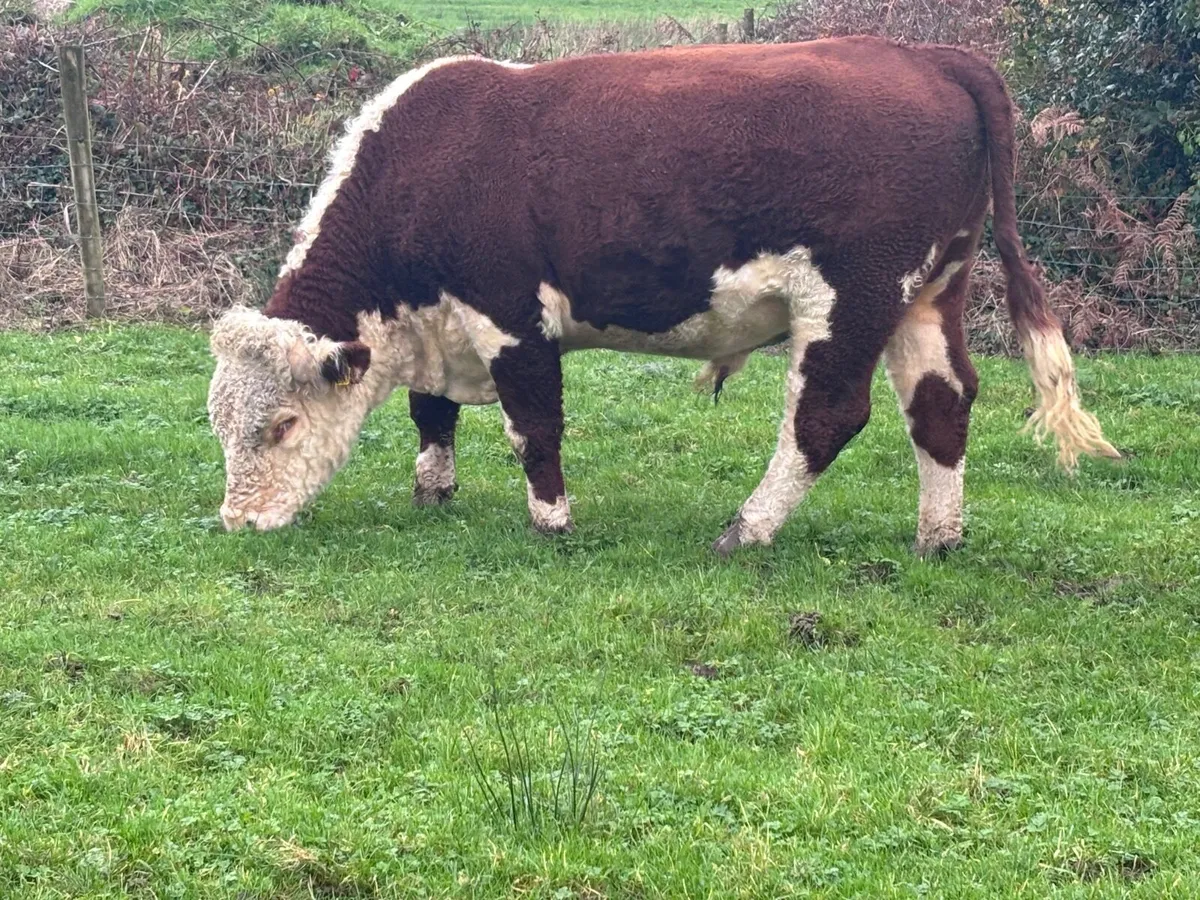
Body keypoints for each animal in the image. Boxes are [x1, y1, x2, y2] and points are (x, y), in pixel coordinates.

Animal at [206, 37, 1120, 556]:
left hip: (853, 295)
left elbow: (533, 424)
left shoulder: (510, 315)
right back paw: (939, 538)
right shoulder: (440, 323)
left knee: (827, 415)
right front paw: (433, 491)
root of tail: (929, 54)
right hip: (929, 291)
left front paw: (552, 522)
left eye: (282, 425)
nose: (237, 523)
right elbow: (432, 412)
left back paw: (746, 530)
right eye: (221, 425)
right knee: (942, 403)